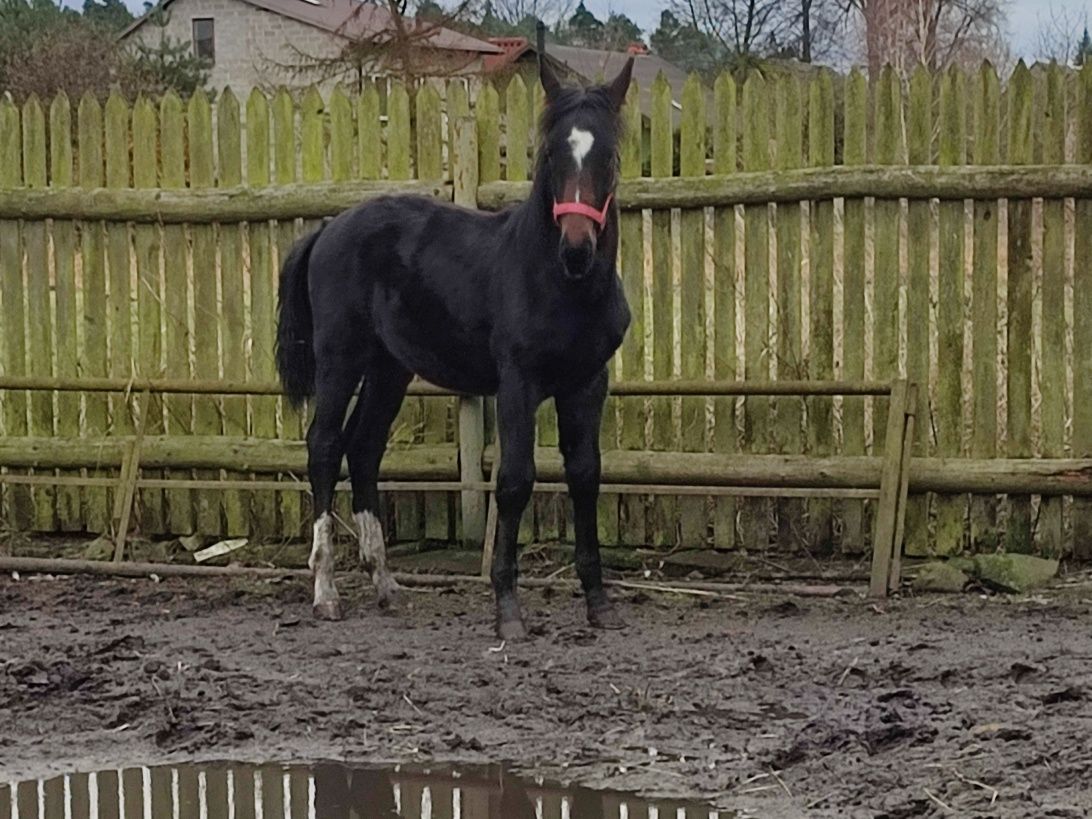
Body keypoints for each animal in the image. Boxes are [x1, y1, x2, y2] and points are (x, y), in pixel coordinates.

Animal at [277, 56, 637, 642]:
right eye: (550, 153)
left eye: (608, 155)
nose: (577, 249)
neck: (561, 286)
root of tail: (328, 230)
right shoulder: (517, 383)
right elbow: (514, 480)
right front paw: (508, 610)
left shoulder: (588, 383)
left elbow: (586, 475)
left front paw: (599, 604)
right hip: (340, 359)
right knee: (325, 446)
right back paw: (326, 593)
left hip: (389, 369)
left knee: (365, 448)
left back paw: (385, 585)